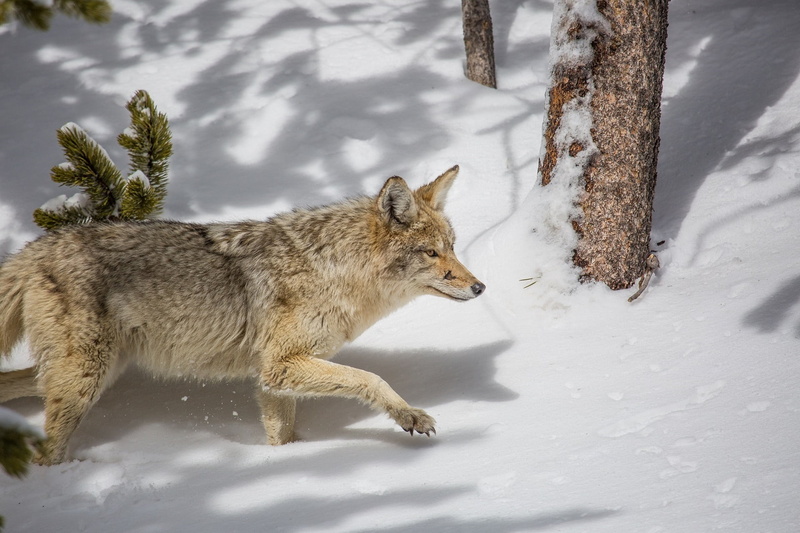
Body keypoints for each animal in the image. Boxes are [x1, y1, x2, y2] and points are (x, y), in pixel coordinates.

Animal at [0, 166, 485, 465]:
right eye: (432, 253)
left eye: (453, 247)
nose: (480, 287)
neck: (333, 270)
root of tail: (32, 250)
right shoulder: (280, 364)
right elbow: (371, 378)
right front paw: (410, 416)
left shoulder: (273, 378)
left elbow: (282, 435)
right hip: (85, 380)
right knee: (46, 453)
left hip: (89, 373)